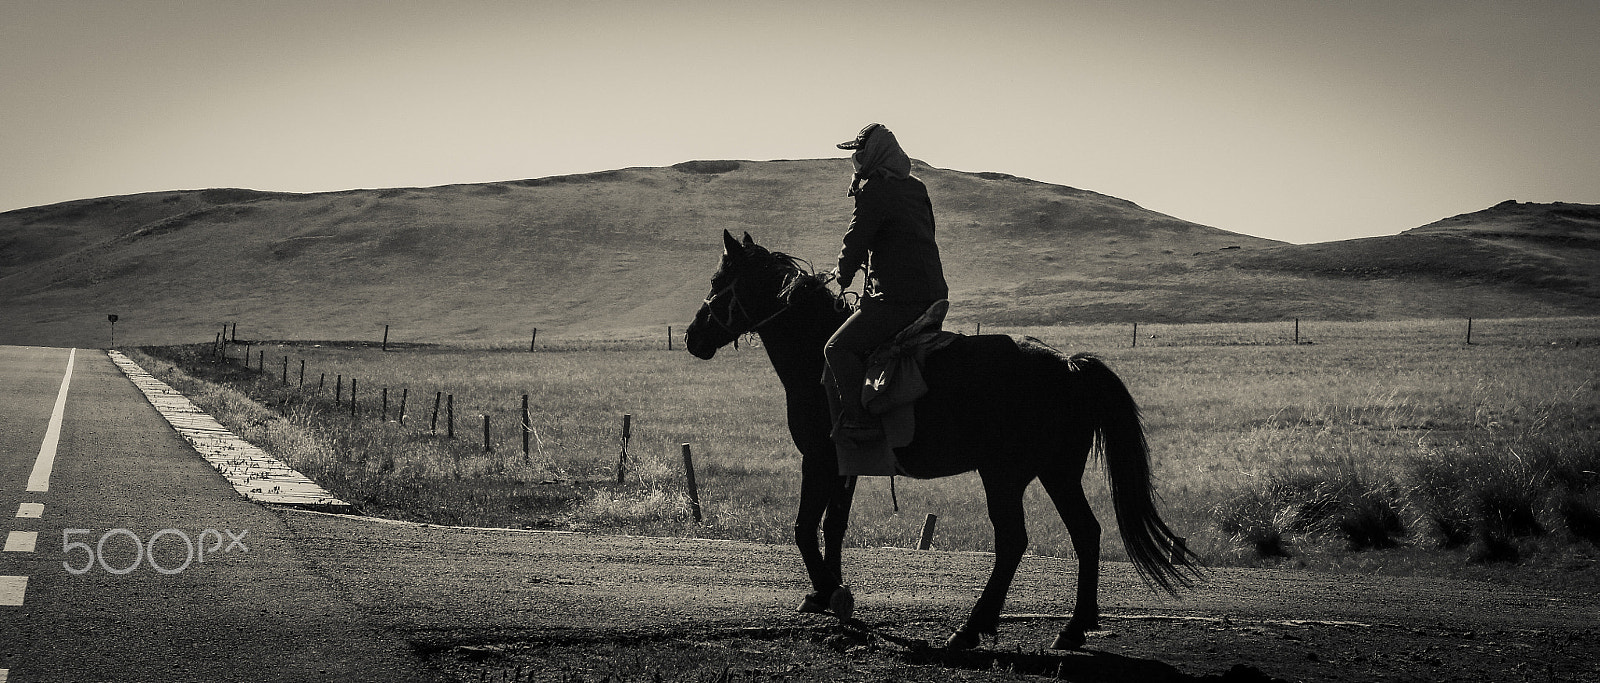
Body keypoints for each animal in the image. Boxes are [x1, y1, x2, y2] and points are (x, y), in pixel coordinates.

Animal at [681, 231, 1196, 652]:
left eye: (719, 280)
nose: (691, 337)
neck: (816, 355)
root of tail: (1069, 365)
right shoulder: (846, 464)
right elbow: (834, 526)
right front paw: (825, 594)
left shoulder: (820, 459)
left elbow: (804, 527)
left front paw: (832, 593)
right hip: (1056, 473)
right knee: (1085, 533)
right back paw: (1073, 627)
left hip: (1005, 475)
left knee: (1014, 540)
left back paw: (972, 629)